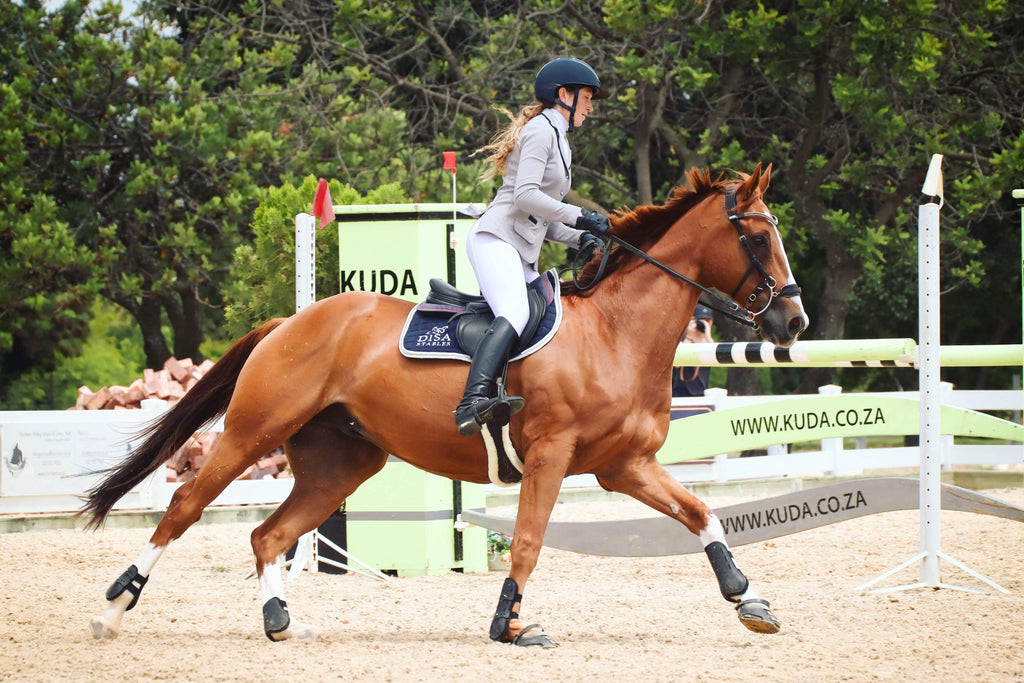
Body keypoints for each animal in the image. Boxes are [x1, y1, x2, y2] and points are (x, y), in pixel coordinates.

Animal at [83, 162, 806, 651]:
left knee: (270, 535)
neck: (615, 331)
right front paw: (508, 625)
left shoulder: (622, 465)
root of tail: (290, 321)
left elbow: (701, 513)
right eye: (759, 237)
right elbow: (527, 544)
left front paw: (749, 599)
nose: (794, 321)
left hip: (341, 463)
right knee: (185, 506)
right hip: (252, 433)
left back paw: (280, 621)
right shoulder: (551, 456)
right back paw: (113, 609)